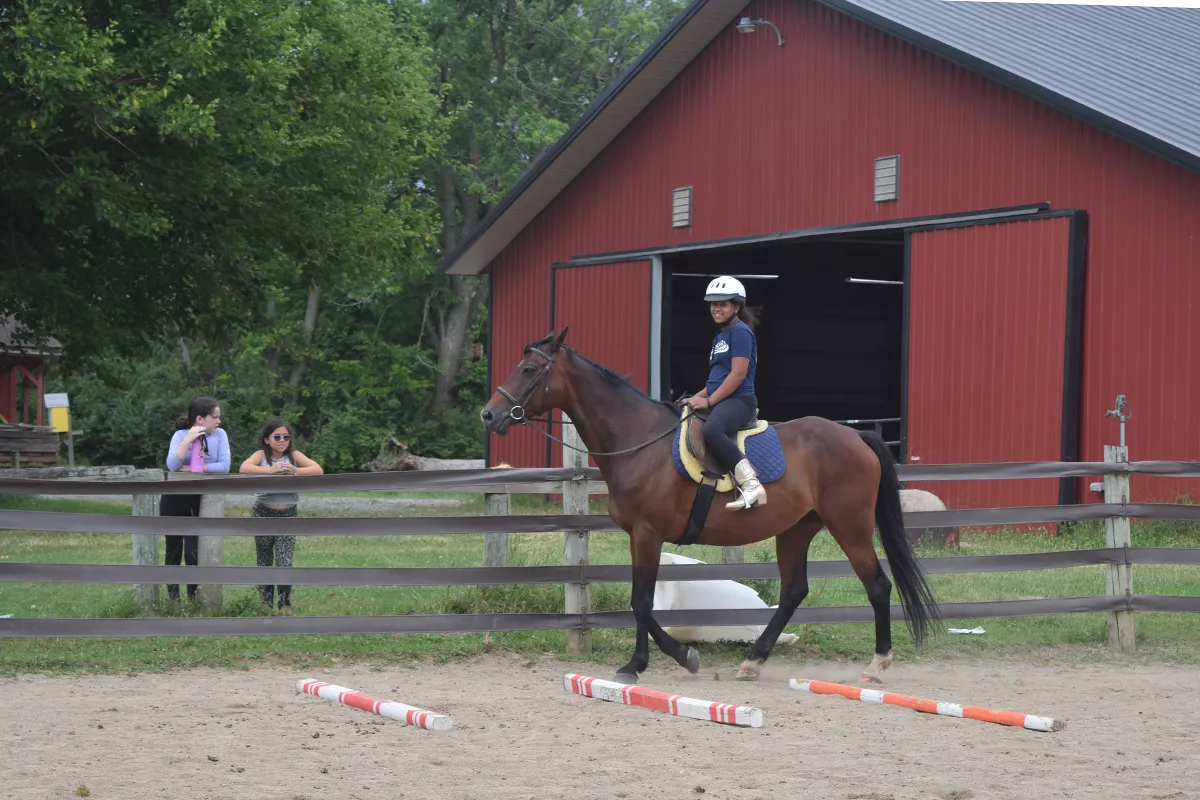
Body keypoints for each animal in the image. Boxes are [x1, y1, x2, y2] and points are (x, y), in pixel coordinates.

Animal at [480, 329, 939, 684]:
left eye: (528, 370)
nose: (489, 414)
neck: (639, 441)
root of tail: (855, 435)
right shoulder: (638, 536)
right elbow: (640, 602)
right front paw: (647, 662)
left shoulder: (648, 533)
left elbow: (641, 603)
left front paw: (668, 660)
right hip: (797, 529)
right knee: (794, 591)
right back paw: (753, 660)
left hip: (850, 525)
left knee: (876, 585)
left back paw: (877, 665)